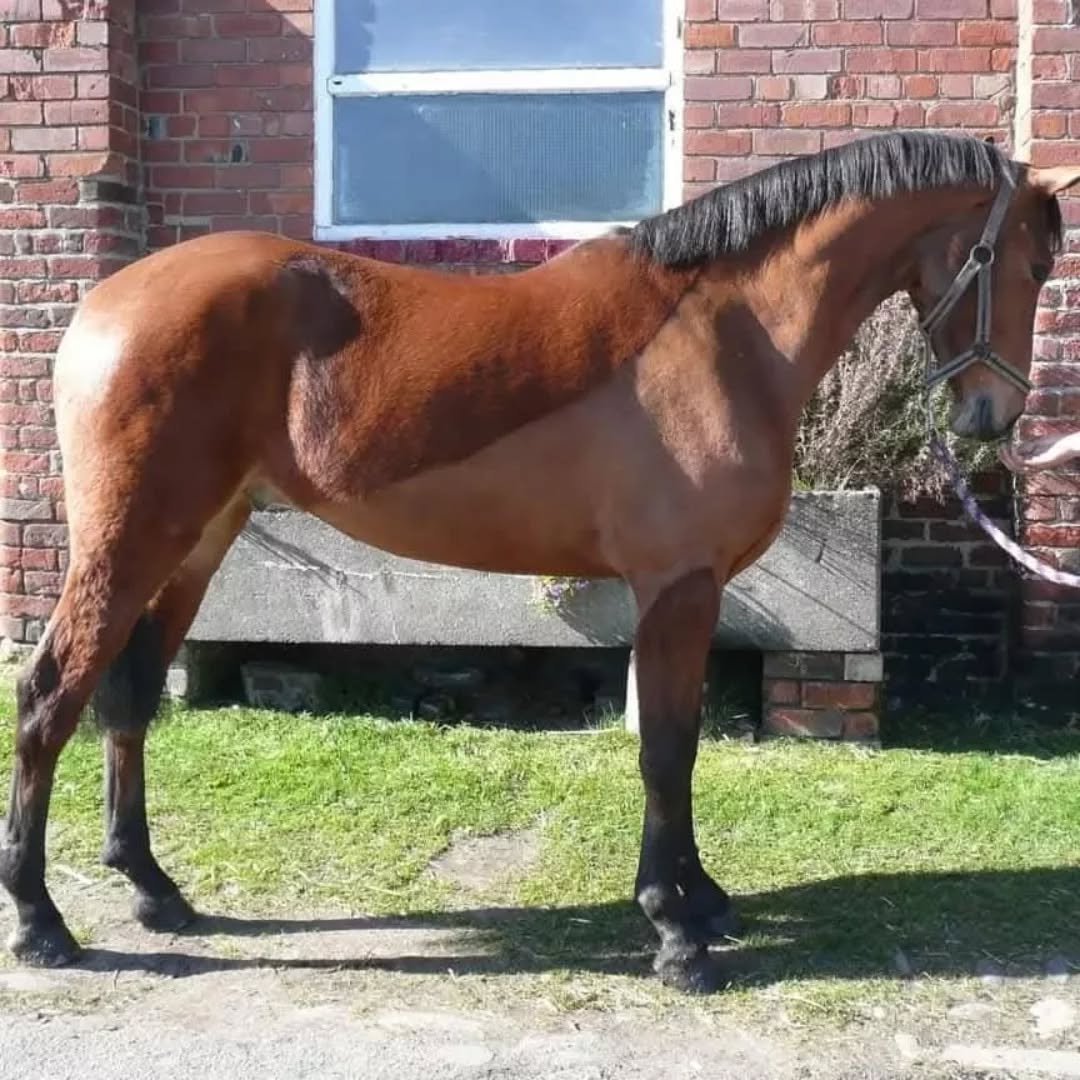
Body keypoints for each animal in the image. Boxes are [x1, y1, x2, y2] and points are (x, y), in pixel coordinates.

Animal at [2, 131, 1077, 994]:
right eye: (1030, 263)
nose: (992, 417)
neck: (724, 331)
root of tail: (105, 305)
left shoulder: (688, 593)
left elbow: (683, 748)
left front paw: (702, 896)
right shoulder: (676, 588)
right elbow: (666, 749)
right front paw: (675, 932)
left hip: (197, 542)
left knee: (130, 694)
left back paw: (154, 891)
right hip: (130, 541)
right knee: (53, 693)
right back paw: (42, 923)